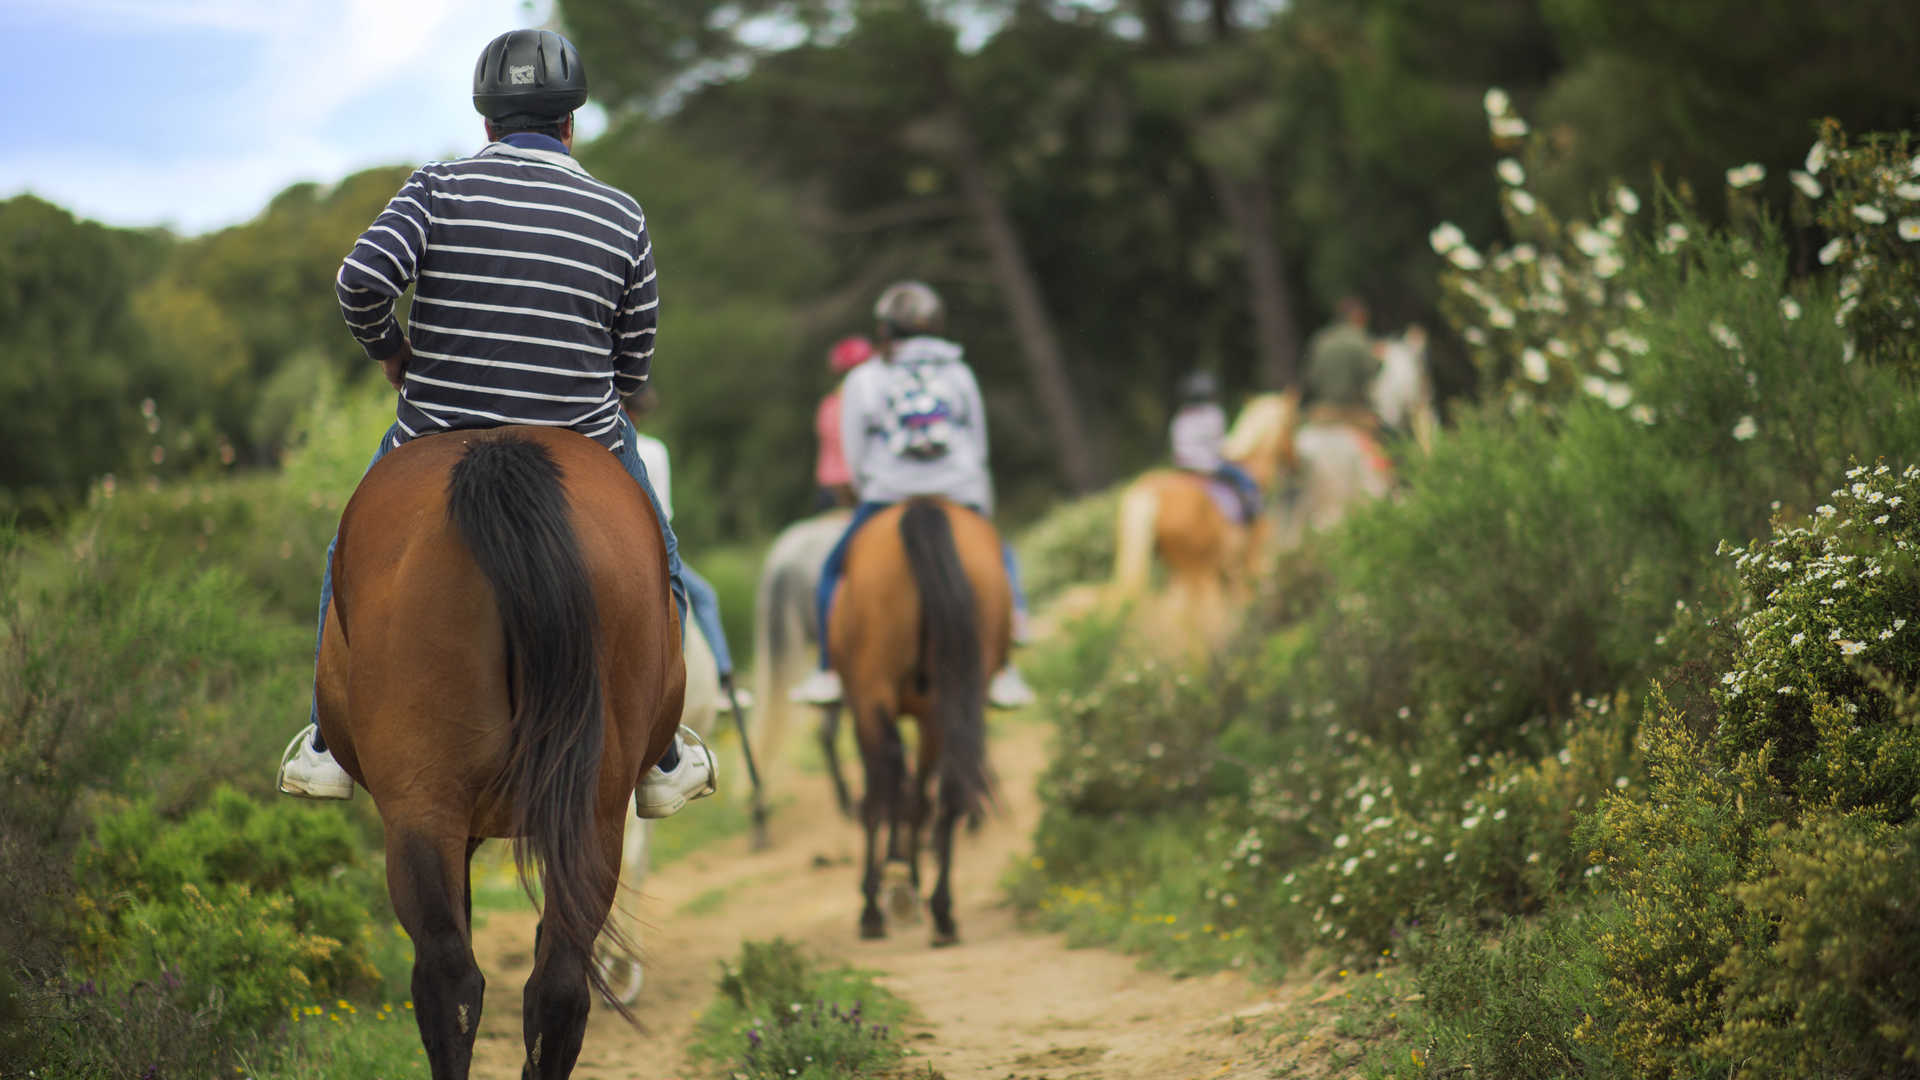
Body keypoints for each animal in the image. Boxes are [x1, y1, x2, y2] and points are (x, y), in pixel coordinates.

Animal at [828, 497, 1006, 944]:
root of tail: (924, 505)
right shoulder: (930, 716)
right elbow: (920, 799)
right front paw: (908, 874)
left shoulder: (865, 705)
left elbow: (891, 793)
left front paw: (892, 879)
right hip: (953, 695)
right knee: (947, 790)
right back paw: (942, 911)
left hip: (872, 692)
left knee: (884, 783)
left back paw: (876, 906)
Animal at [1110, 391, 1299, 650]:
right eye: (1291, 424)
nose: (1295, 463)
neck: (1253, 467)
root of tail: (1148, 490)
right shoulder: (1252, 551)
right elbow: (1250, 593)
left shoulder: (1228, 568)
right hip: (1198, 572)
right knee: (1196, 618)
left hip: (1185, 573)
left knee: (1180, 616)